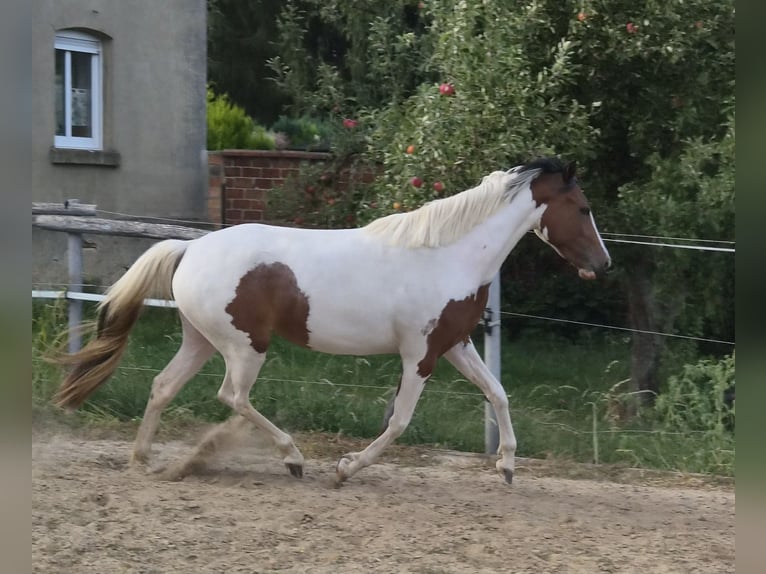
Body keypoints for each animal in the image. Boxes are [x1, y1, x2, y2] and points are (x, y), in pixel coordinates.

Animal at [54, 157, 611, 484]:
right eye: (583, 208)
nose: (603, 264)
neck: (449, 255)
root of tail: (190, 248)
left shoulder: (455, 345)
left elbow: (498, 393)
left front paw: (508, 465)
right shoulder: (420, 355)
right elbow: (400, 421)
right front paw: (346, 468)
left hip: (201, 340)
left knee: (163, 386)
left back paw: (145, 461)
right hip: (245, 346)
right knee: (232, 396)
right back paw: (292, 458)